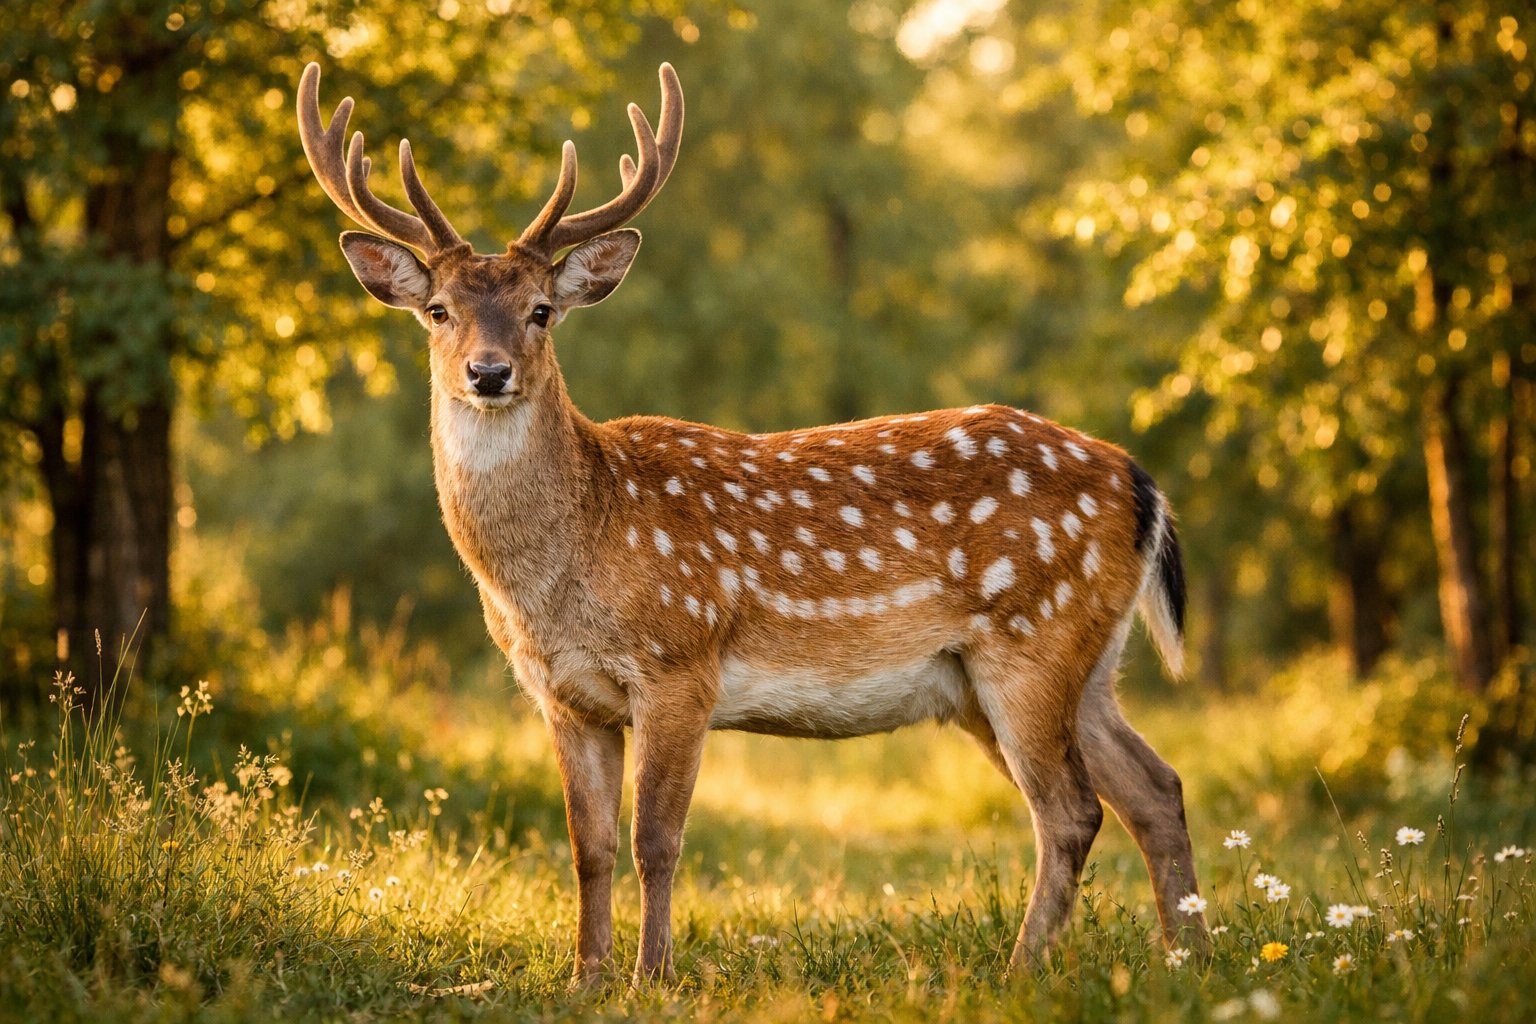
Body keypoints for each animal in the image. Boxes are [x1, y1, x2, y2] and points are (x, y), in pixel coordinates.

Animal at [297, 60, 1207, 985]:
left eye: (542, 309)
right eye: (438, 309)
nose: (489, 372)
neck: (565, 567)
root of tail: (1139, 482)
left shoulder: (680, 659)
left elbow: (655, 839)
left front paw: (651, 976)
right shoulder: (563, 695)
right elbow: (588, 847)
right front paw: (584, 976)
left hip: (1032, 638)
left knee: (1071, 810)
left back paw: (1022, 970)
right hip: (1064, 666)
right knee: (1155, 786)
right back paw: (1189, 958)